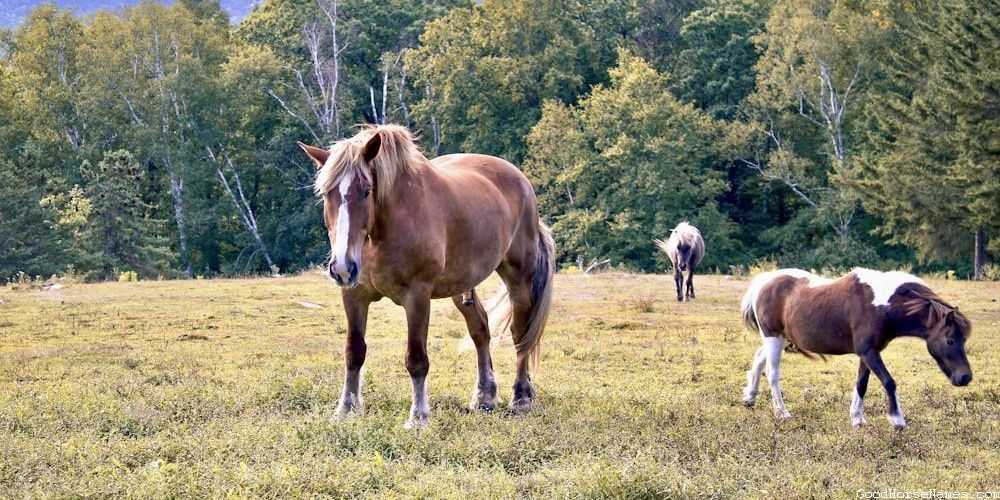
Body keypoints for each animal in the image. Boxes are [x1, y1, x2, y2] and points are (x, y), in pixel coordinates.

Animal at [298, 124, 555, 428]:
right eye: (328, 194)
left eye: (366, 191)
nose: (342, 267)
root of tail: (521, 181)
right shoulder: (354, 294)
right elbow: (354, 352)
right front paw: (346, 410)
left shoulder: (417, 296)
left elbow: (417, 358)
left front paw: (419, 417)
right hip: (462, 284)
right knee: (480, 330)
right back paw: (484, 397)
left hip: (519, 277)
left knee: (519, 333)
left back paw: (521, 397)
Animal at [739, 268, 972, 429]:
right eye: (950, 340)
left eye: (964, 339)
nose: (965, 377)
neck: (881, 305)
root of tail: (765, 281)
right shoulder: (869, 352)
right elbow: (889, 382)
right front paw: (897, 420)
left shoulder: (868, 353)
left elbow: (862, 384)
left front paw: (857, 419)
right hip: (774, 338)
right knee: (772, 373)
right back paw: (782, 413)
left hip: (781, 339)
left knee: (759, 359)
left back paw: (750, 397)